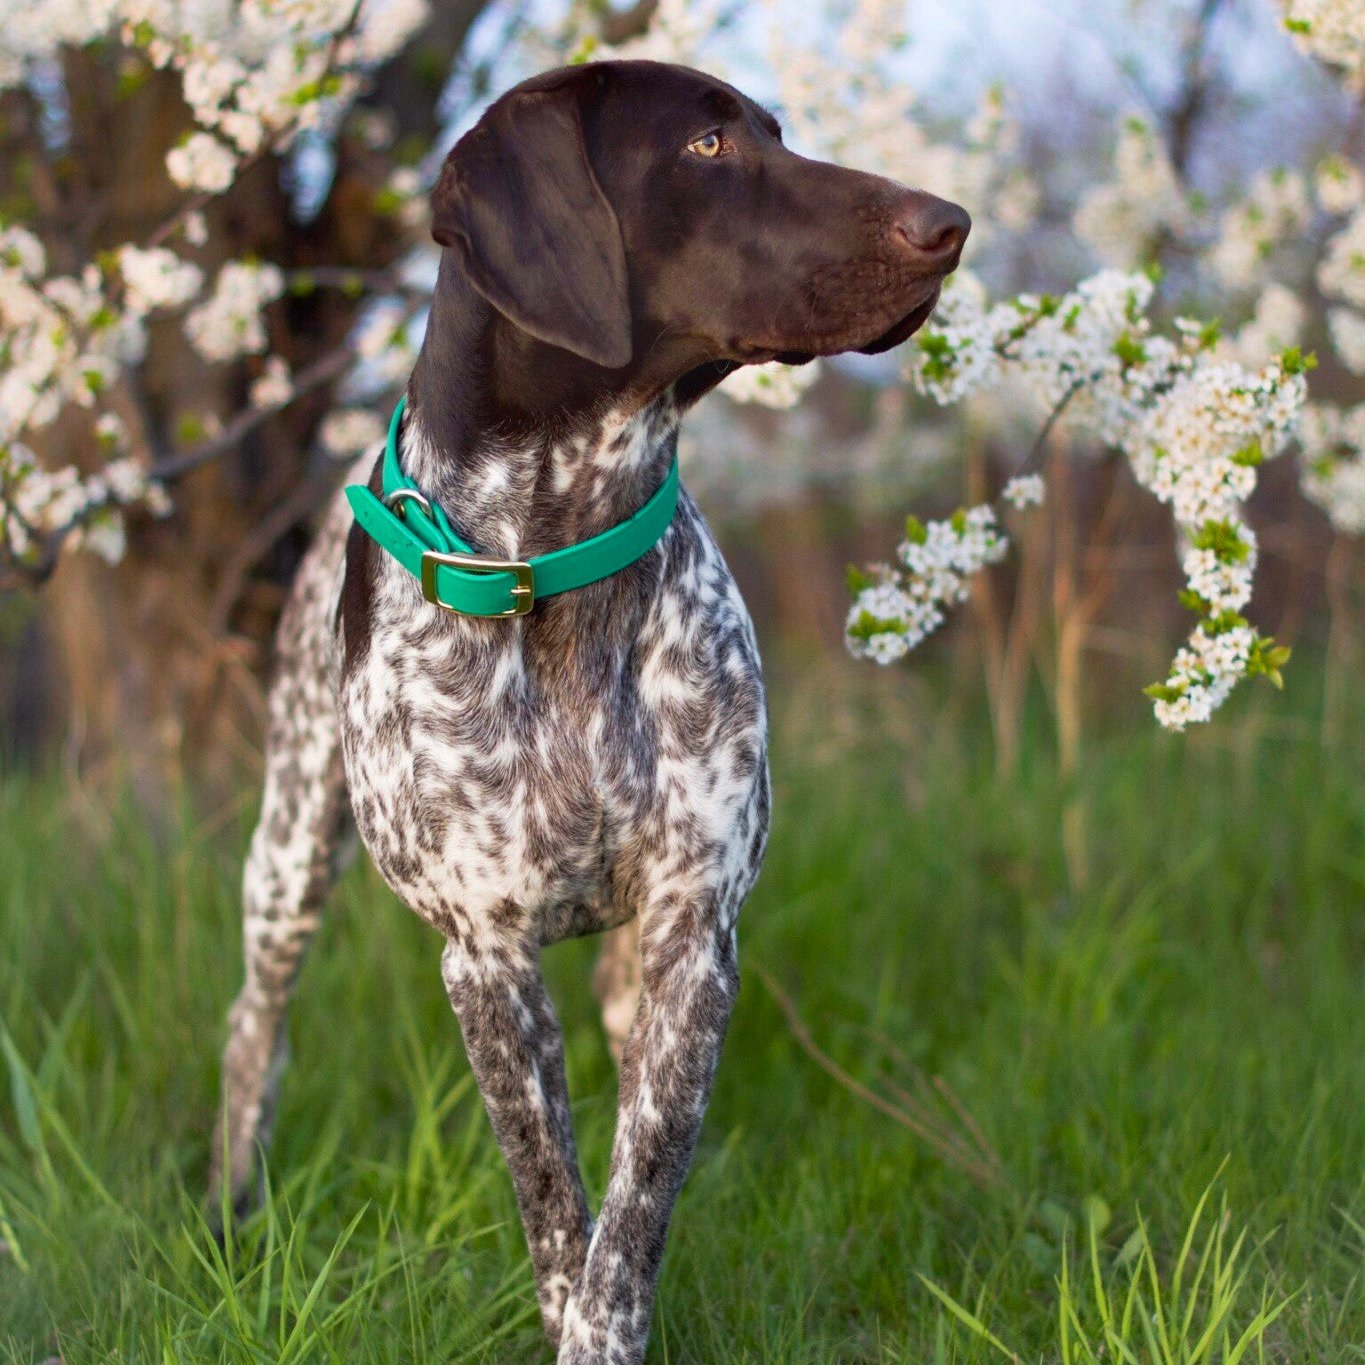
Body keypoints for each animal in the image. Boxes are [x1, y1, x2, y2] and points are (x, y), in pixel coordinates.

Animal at [207, 58, 966, 1365]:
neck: (562, 554)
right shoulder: (487, 959)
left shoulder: (693, 937)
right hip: (288, 857)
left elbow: (632, 1208)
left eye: (775, 133)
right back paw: (229, 1200)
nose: (950, 223)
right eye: (708, 146)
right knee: (255, 1025)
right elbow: (557, 1207)